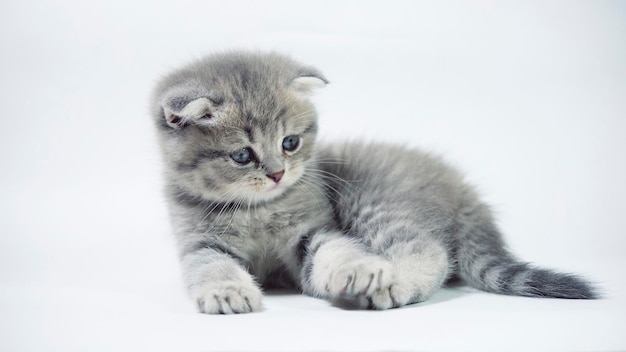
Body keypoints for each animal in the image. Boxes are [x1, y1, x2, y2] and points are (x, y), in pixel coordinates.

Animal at [151, 50, 596, 314]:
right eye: (242, 155)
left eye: (290, 143)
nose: (277, 173)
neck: (257, 210)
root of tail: (464, 190)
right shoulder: (198, 243)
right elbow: (210, 265)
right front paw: (227, 290)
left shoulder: (313, 230)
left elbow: (336, 249)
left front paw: (358, 269)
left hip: (374, 201)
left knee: (430, 251)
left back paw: (391, 285)